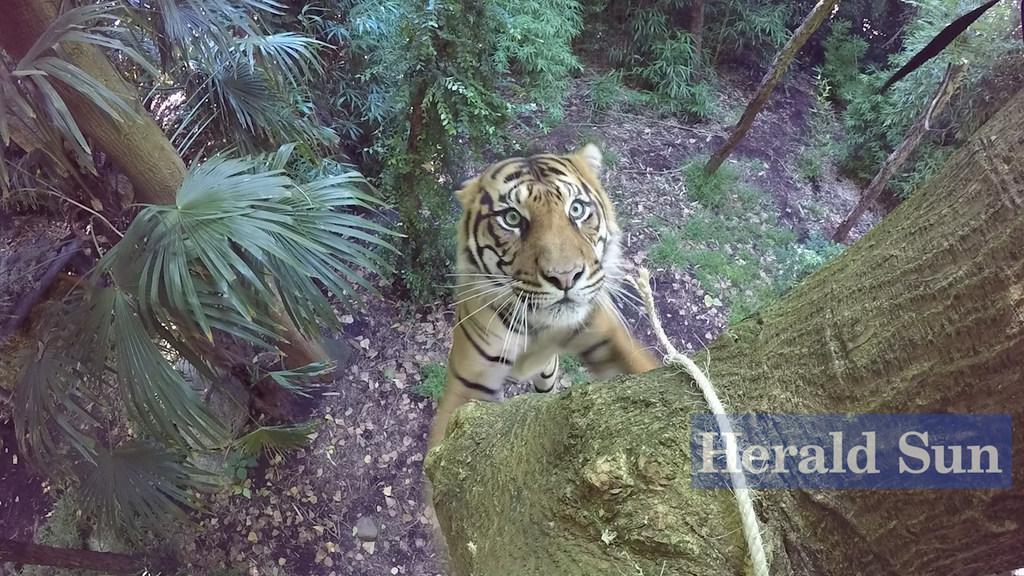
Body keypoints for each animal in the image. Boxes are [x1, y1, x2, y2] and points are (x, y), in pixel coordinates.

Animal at [428, 141, 659, 446]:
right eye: (512, 218)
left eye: (576, 209)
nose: (564, 277)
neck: (539, 326)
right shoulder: (469, 381)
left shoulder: (606, 333)